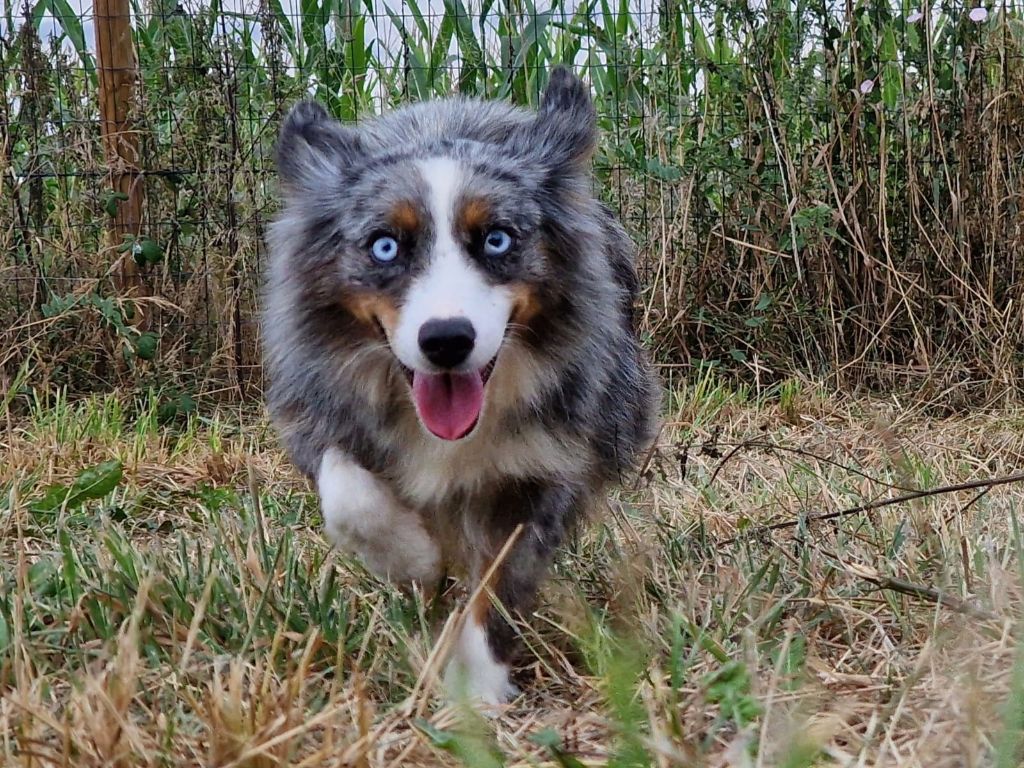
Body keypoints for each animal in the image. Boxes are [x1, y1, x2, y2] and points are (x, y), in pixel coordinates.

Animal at [264, 67, 659, 708]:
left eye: (497, 239)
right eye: (385, 246)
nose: (446, 340)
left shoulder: (549, 460)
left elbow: (499, 574)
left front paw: (475, 688)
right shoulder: (316, 407)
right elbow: (349, 491)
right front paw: (412, 559)